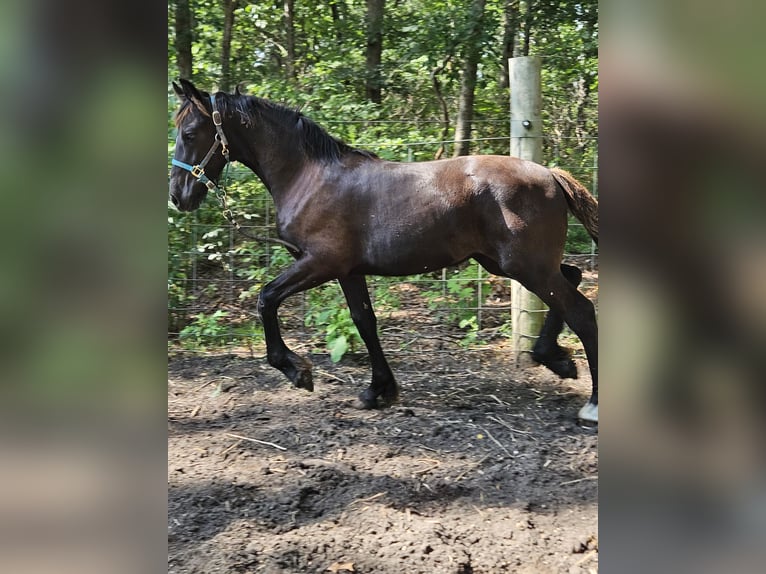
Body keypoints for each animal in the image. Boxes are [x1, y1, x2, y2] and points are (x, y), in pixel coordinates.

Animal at [169, 79, 599, 423]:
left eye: (189, 133)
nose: (178, 196)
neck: (309, 178)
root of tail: (550, 174)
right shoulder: (348, 271)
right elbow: (365, 322)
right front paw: (379, 390)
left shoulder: (320, 263)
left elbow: (266, 298)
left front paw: (298, 372)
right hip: (507, 263)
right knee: (573, 279)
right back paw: (555, 358)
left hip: (525, 265)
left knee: (581, 310)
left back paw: (591, 405)